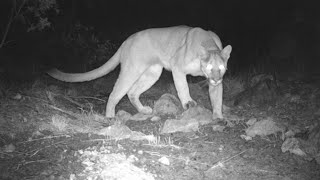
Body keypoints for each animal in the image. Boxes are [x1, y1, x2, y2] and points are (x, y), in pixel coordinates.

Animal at [47, 25, 231, 119]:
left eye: (221, 69)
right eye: (210, 68)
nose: (215, 79)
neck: (208, 45)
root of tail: (127, 40)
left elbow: (217, 98)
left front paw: (218, 116)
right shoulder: (177, 67)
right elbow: (183, 87)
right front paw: (188, 103)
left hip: (152, 73)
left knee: (132, 92)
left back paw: (143, 111)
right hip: (131, 70)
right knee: (116, 93)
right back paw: (110, 116)